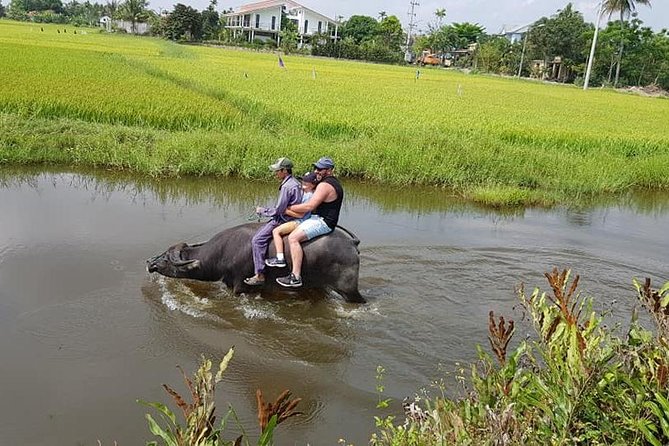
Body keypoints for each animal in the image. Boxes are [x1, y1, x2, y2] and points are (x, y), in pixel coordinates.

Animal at [147, 223, 366, 304]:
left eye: (166, 258)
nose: (150, 262)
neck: (222, 253)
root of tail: (351, 244)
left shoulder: (240, 287)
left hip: (349, 290)